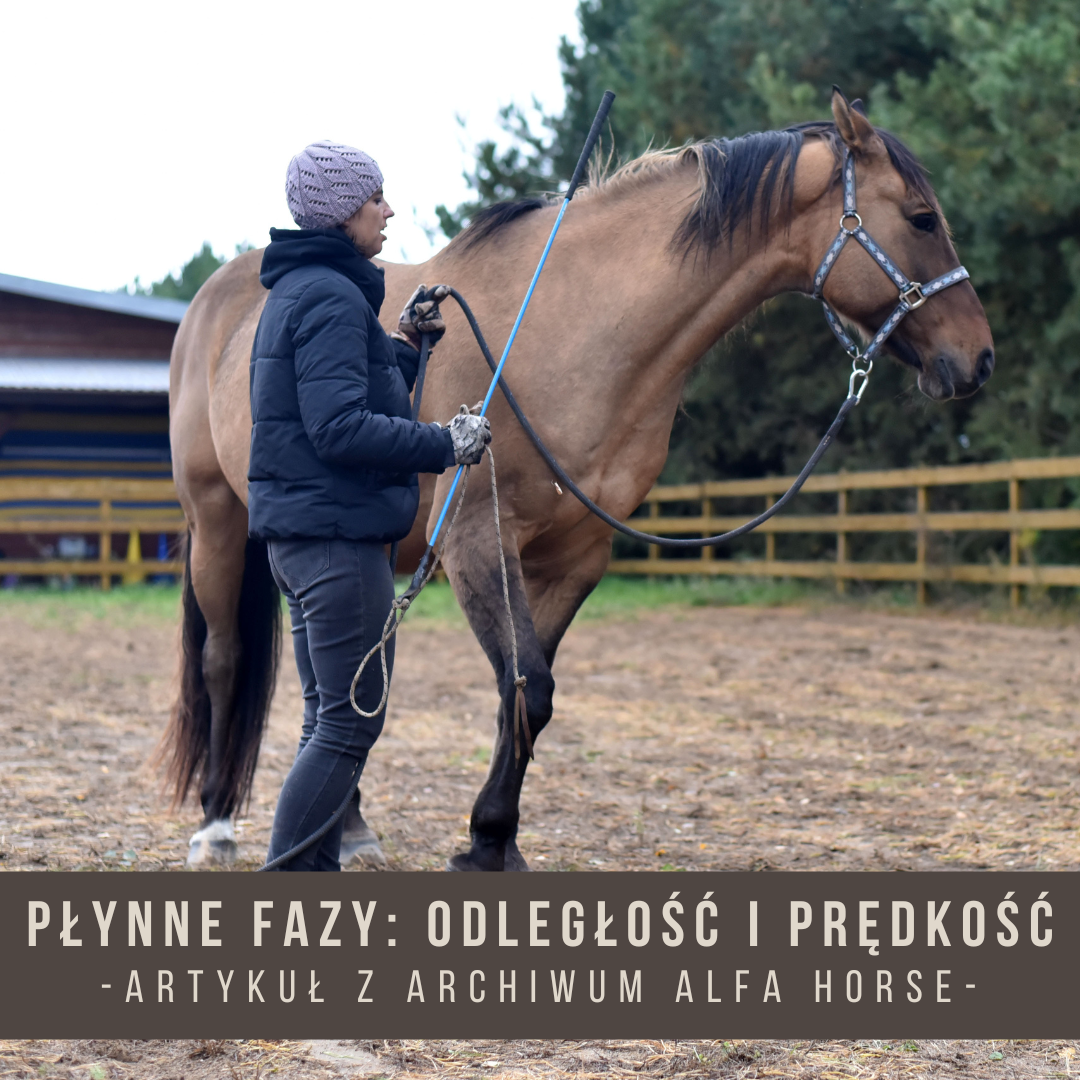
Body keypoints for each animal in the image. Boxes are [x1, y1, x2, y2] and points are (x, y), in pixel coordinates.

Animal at [165, 90, 994, 869]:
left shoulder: (575, 557)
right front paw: (483, 842)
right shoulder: (477, 544)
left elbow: (527, 697)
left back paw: (351, 830)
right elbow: (525, 684)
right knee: (225, 661)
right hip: (217, 523)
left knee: (333, 687)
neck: (572, 329)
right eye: (922, 219)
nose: (978, 358)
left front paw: (494, 839)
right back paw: (216, 827)